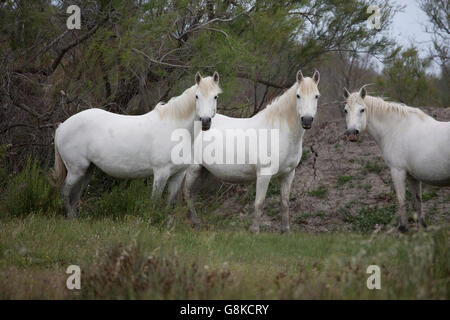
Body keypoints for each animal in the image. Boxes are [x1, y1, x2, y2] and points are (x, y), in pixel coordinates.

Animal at [52, 72, 221, 218]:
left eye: (215, 96)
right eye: (197, 96)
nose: (206, 121)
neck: (175, 129)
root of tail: (62, 126)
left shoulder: (178, 175)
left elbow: (170, 205)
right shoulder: (161, 173)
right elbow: (154, 202)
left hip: (87, 170)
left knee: (75, 196)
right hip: (76, 169)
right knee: (65, 193)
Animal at [185, 70, 322, 232]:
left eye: (316, 96)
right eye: (298, 95)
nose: (306, 120)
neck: (278, 131)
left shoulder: (288, 174)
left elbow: (285, 203)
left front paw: (286, 231)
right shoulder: (264, 174)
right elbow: (259, 203)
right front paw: (254, 230)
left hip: (204, 171)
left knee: (192, 194)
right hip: (193, 168)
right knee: (187, 193)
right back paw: (195, 222)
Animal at [342, 87, 448, 231]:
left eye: (362, 110)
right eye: (345, 110)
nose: (352, 134)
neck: (397, 129)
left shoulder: (397, 171)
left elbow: (401, 200)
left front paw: (403, 229)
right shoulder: (412, 177)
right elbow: (417, 202)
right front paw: (422, 230)